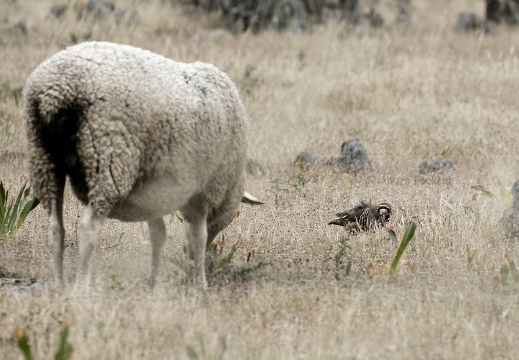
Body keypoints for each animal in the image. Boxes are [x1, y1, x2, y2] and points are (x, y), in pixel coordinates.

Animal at [24, 41, 256, 290]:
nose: (187, 254)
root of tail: (56, 92)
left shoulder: (153, 191)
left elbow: (158, 234)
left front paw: (153, 282)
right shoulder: (205, 190)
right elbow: (199, 236)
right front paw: (200, 283)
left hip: (44, 159)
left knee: (56, 227)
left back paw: (59, 285)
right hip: (109, 160)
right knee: (88, 228)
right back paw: (82, 287)